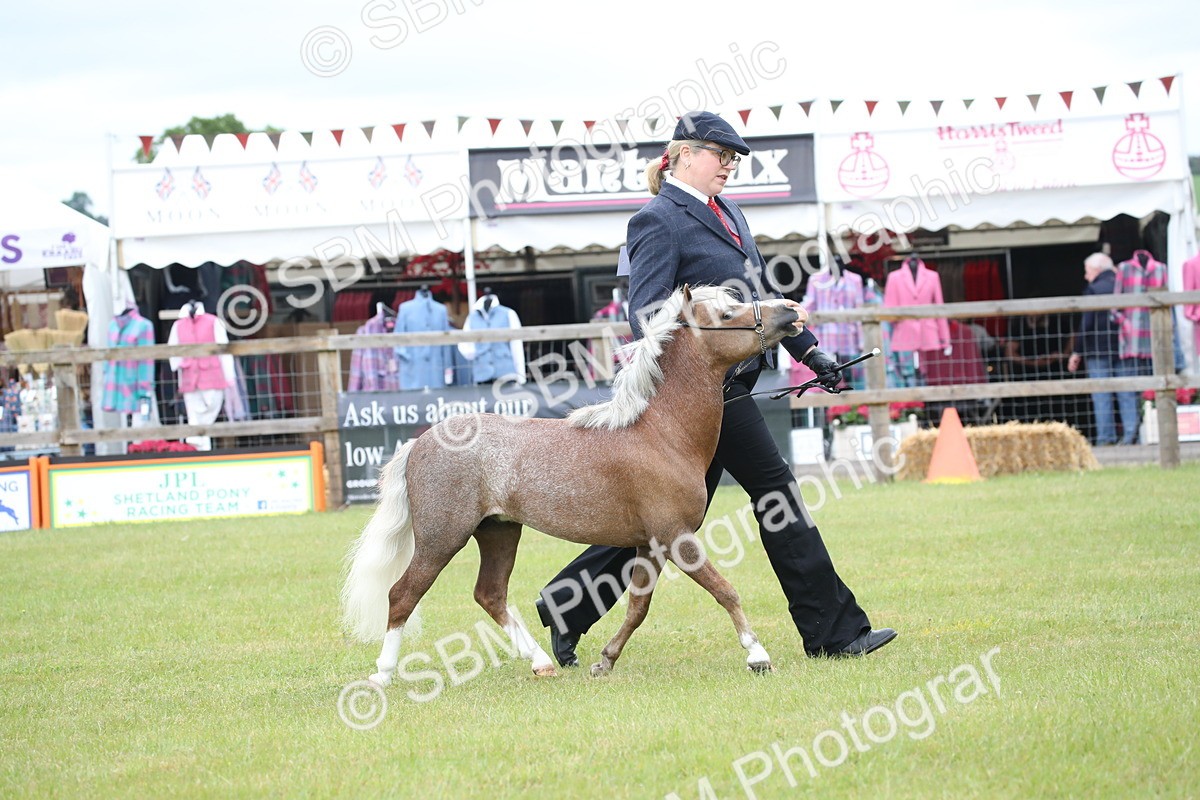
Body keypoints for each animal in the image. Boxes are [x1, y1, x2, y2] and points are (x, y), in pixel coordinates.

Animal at [341, 284, 801, 685]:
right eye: (726, 315)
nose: (791, 311)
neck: (661, 433)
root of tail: (419, 442)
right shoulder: (676, 537)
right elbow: (726, 591)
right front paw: (757, 655)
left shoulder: (650, 544)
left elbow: (637, 607)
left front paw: (605, 661)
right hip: (442, 537)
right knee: (403, 594)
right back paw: (383, 674)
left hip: (498, 532)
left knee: (490, 594)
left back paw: (541, 662)